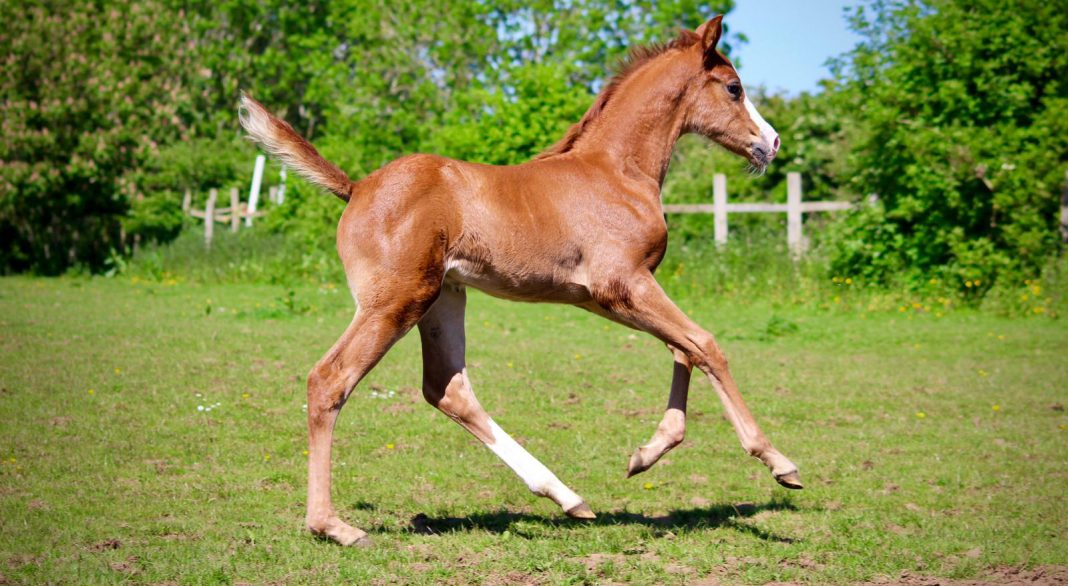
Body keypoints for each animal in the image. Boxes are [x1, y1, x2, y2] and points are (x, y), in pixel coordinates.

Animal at [238, 16, 798, 546]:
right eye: (734, 87)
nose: (771, 142)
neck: (617, 172)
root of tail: (356, 188)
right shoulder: (623, 285)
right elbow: (706, 344)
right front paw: (776, 460)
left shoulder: (621, 294)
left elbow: (685, 349)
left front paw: (646, 454)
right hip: (394, 302)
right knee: (330, 379)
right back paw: (332, 526)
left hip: (443, 299)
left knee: (447, 388)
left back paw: (567, 497)